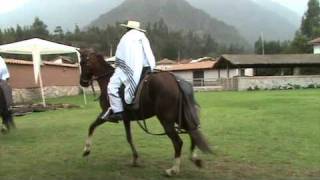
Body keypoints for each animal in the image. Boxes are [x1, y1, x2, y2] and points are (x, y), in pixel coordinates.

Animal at [79, 50, 211, 176]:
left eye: (83, 63)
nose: (82, 82)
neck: (107, 80)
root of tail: (176, 81)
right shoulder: (126, 118)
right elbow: (129, 138)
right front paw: (135, 159)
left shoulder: (105, 114)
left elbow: (91, 126)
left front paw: (86, 150)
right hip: (179, 118)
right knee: (192, 131)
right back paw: (194, 159)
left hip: (166, 120)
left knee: (178, 142)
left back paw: (173, 170)